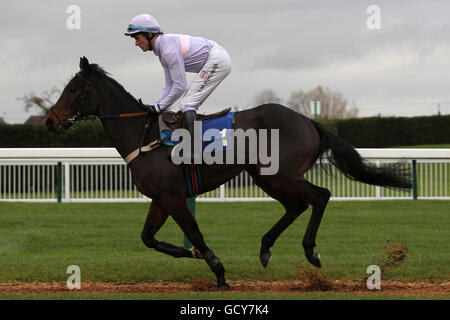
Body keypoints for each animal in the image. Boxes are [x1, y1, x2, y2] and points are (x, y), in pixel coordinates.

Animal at [44, 56, 412, 292]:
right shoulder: (160, 198)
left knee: (320, 196)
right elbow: (148, 238)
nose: (49, 121)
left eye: (74, 89)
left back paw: (311, 251)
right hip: (266, 176)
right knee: (296, 205)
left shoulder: (174, 197)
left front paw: (219, 273)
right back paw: (265, 248)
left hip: (282, 174)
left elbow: (194, 233)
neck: (144, 136)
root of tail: (308, 120)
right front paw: (190, 255)